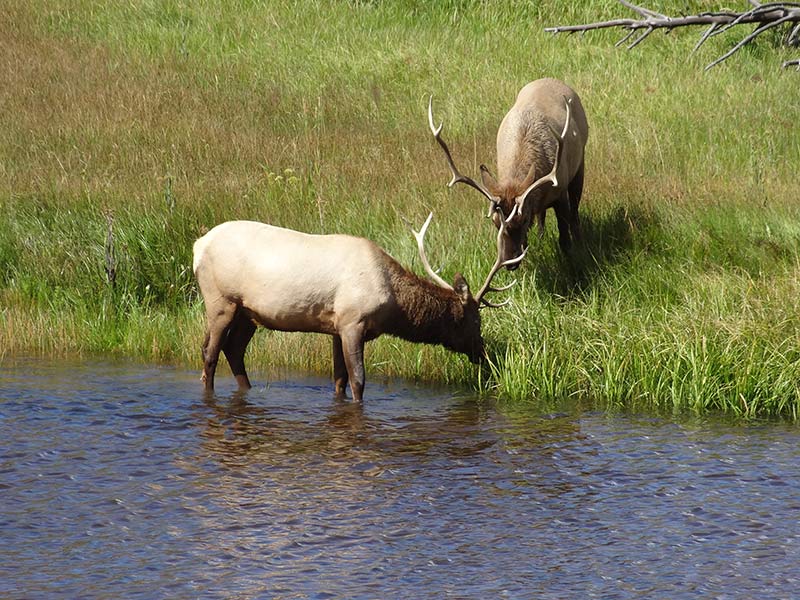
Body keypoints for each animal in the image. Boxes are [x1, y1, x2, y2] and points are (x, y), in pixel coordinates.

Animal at [191, 213, 520, 400]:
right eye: (475, 321)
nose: (484, 355)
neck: (393, 306)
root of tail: (197, 246)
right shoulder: (353, 323)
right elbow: (358, 381)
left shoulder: (336, 327)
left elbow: (339, 380)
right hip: (221, 300)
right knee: (209, 351)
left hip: (249, 313)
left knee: (234, 350)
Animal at [432, 76, 588, 268]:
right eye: (494, 222)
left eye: (524, 219)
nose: (509, 263)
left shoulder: (560, 191)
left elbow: (565, 238)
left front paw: (573, 259)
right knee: (542, 214)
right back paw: (541, 237)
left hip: (580, 165)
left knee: (575, 212)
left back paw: (580, 241)